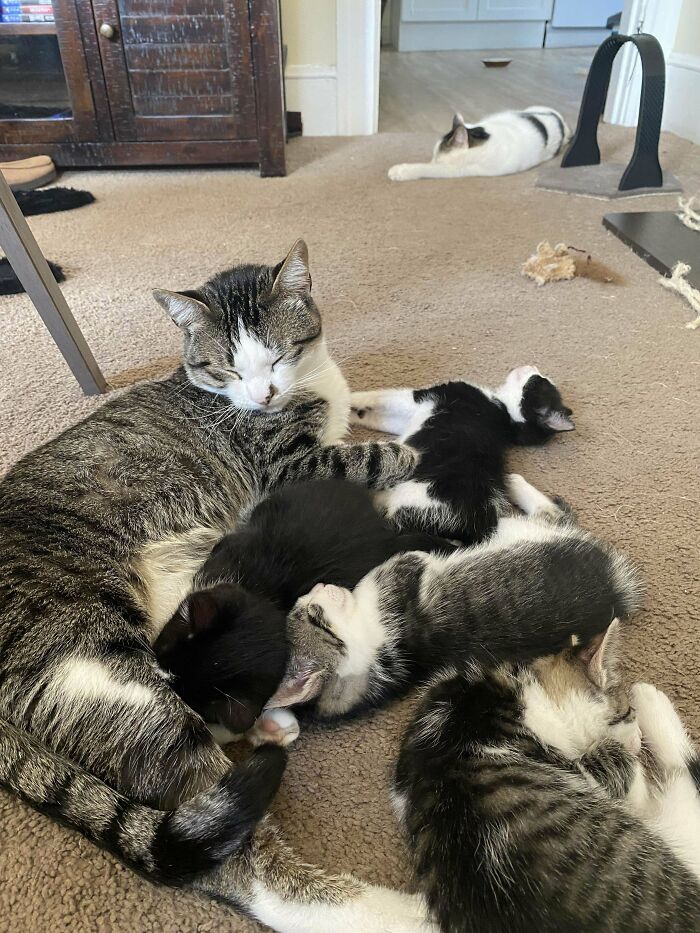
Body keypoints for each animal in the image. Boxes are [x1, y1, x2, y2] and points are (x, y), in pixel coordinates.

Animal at [0, 242, 430, 932]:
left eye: (276, 356)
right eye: (224, 369)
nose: (263, 394)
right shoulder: (295, 462)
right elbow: (370, 456)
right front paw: (421, 447)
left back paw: (274, 717)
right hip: (110, 672)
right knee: (238, 861)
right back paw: (396, 913)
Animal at [268, 476, 640, 716]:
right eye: (313, 615)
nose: (316, 588)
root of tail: (616, 584)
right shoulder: (404, 568)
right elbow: (413, 554)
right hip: (527, 531)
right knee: (553, 514)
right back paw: (514, 484)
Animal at [350, 362, 576, 540]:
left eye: (539, 380)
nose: (533, 366)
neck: (503, 412)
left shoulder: (423, 397)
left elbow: (373, 397)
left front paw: (346, 398)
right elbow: (370, 414)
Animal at [388, 108, 568, 182]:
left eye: (437, 158)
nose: (432, 160)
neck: (482, 138)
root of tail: (559, 118)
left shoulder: (460, 169)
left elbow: (427, 169)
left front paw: (400, 170)